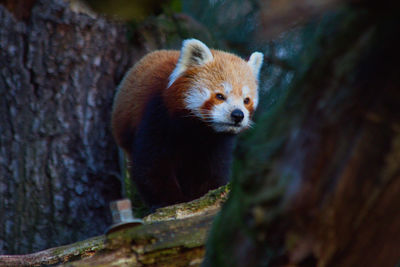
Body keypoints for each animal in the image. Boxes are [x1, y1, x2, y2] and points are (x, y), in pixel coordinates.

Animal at [111, 39, 262, 209]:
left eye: (246, 100)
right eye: (220, 96)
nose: (237, 115)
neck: (196, 129)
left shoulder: (218, 143)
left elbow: (213, 169)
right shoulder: (157, 117)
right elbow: (152, 165)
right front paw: (171, 202)